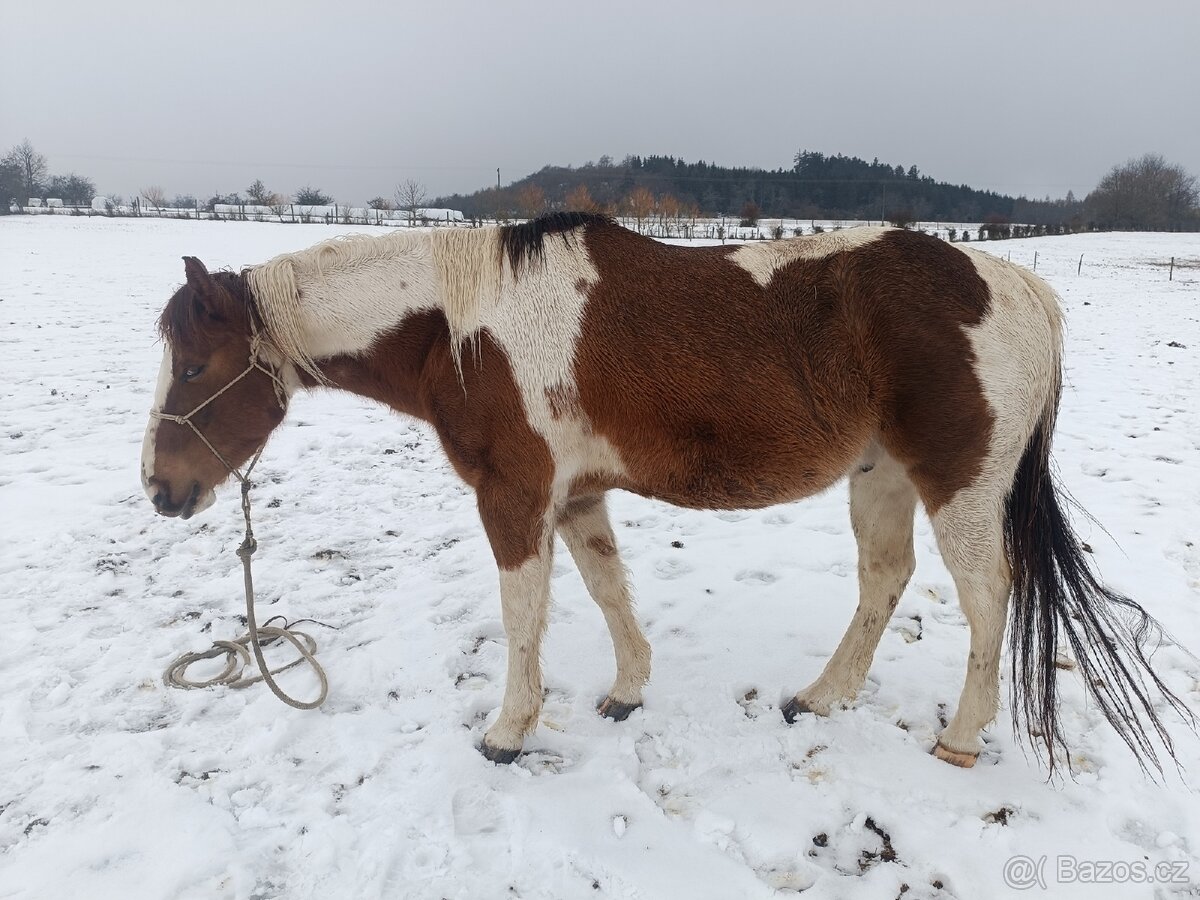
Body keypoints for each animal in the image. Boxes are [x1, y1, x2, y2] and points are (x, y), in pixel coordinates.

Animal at [141, 212, 1189, 770]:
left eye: (193, 368)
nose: (160, 489)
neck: (462, 326)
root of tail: (1019, 287)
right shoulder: (572, 494)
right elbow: (607, 587)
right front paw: (627, 690)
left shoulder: (513, 496)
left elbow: (524, 615)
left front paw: (510, 730)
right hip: (881, 479)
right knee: (885, 579)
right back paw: (822, 697)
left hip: (958, 488)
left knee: (986, 597)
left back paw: (963, 739)